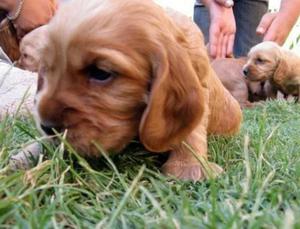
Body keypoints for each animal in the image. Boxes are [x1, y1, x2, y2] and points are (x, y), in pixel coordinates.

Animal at [35, 0, 241, 182]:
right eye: (46, 68)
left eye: (101, 73)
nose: (47, 127)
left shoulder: (200, 82)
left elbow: (192, 130)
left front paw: (189, 166)